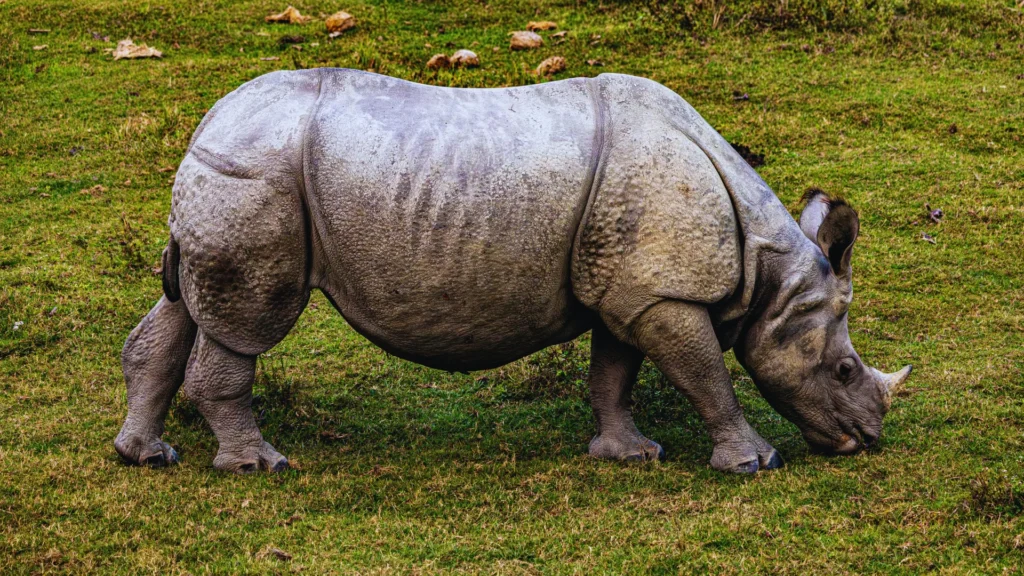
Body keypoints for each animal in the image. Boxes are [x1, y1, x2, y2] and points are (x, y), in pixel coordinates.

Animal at [114, 69, 911, 474]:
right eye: (843, 370)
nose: (866, 439)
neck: (768, 268)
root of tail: (209, 120)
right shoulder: (663, 292)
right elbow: (706, 376)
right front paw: (754, 463)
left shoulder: (630, 286)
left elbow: (614, 371)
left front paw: (630, 454)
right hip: (258, 176)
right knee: (244, 325)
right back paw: (260, 466)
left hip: (230, 175)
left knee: (184, 307)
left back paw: (147, 455)